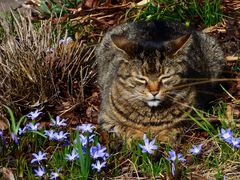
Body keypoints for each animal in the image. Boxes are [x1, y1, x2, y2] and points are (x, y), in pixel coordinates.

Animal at [95, 20, 225, 143]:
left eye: (165, 77)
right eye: (141, 78)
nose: (154, 92)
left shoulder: (194, 118)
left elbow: (173, 129)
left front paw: (163, 140)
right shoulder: (106, 119)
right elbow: (126, 129)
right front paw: (139, 140)